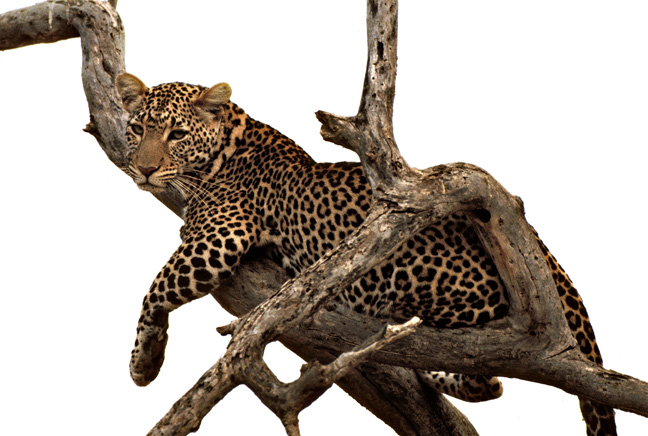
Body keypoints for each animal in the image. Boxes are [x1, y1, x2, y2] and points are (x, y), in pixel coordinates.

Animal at [116, 73, 616, 434]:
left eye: (177, 133)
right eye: (138, 129)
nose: (143, 169)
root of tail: (545, 254)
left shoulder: (219, 237)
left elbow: (155, 288)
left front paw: (144, 362)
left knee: (482, 370)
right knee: (489, 384)